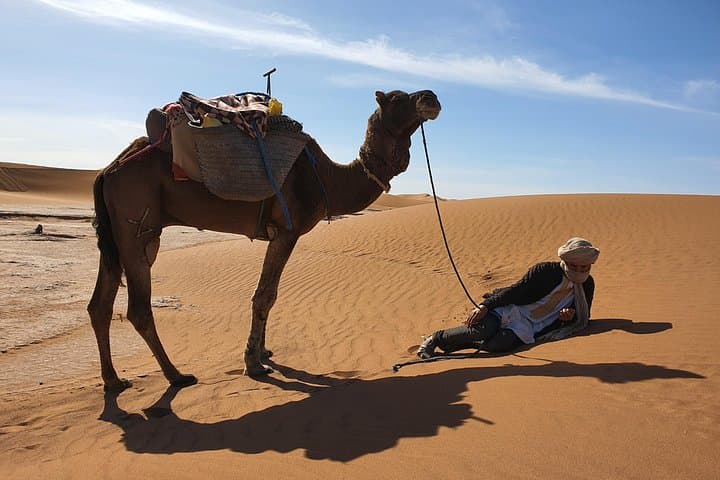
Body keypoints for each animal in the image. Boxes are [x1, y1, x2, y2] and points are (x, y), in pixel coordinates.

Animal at [88, 89, 441, 392]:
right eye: (396, 98)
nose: (431, 97)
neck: (326, 178)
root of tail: (108, 170)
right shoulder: (287, 230)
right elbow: (265, 296)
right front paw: (254, 364)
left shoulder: (278, 232)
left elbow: (269, 295)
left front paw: (264, 351)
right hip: (139, 225)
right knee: (137, 308)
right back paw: (176, 375)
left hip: (114, 235)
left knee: (99, 305)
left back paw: (114, 381)